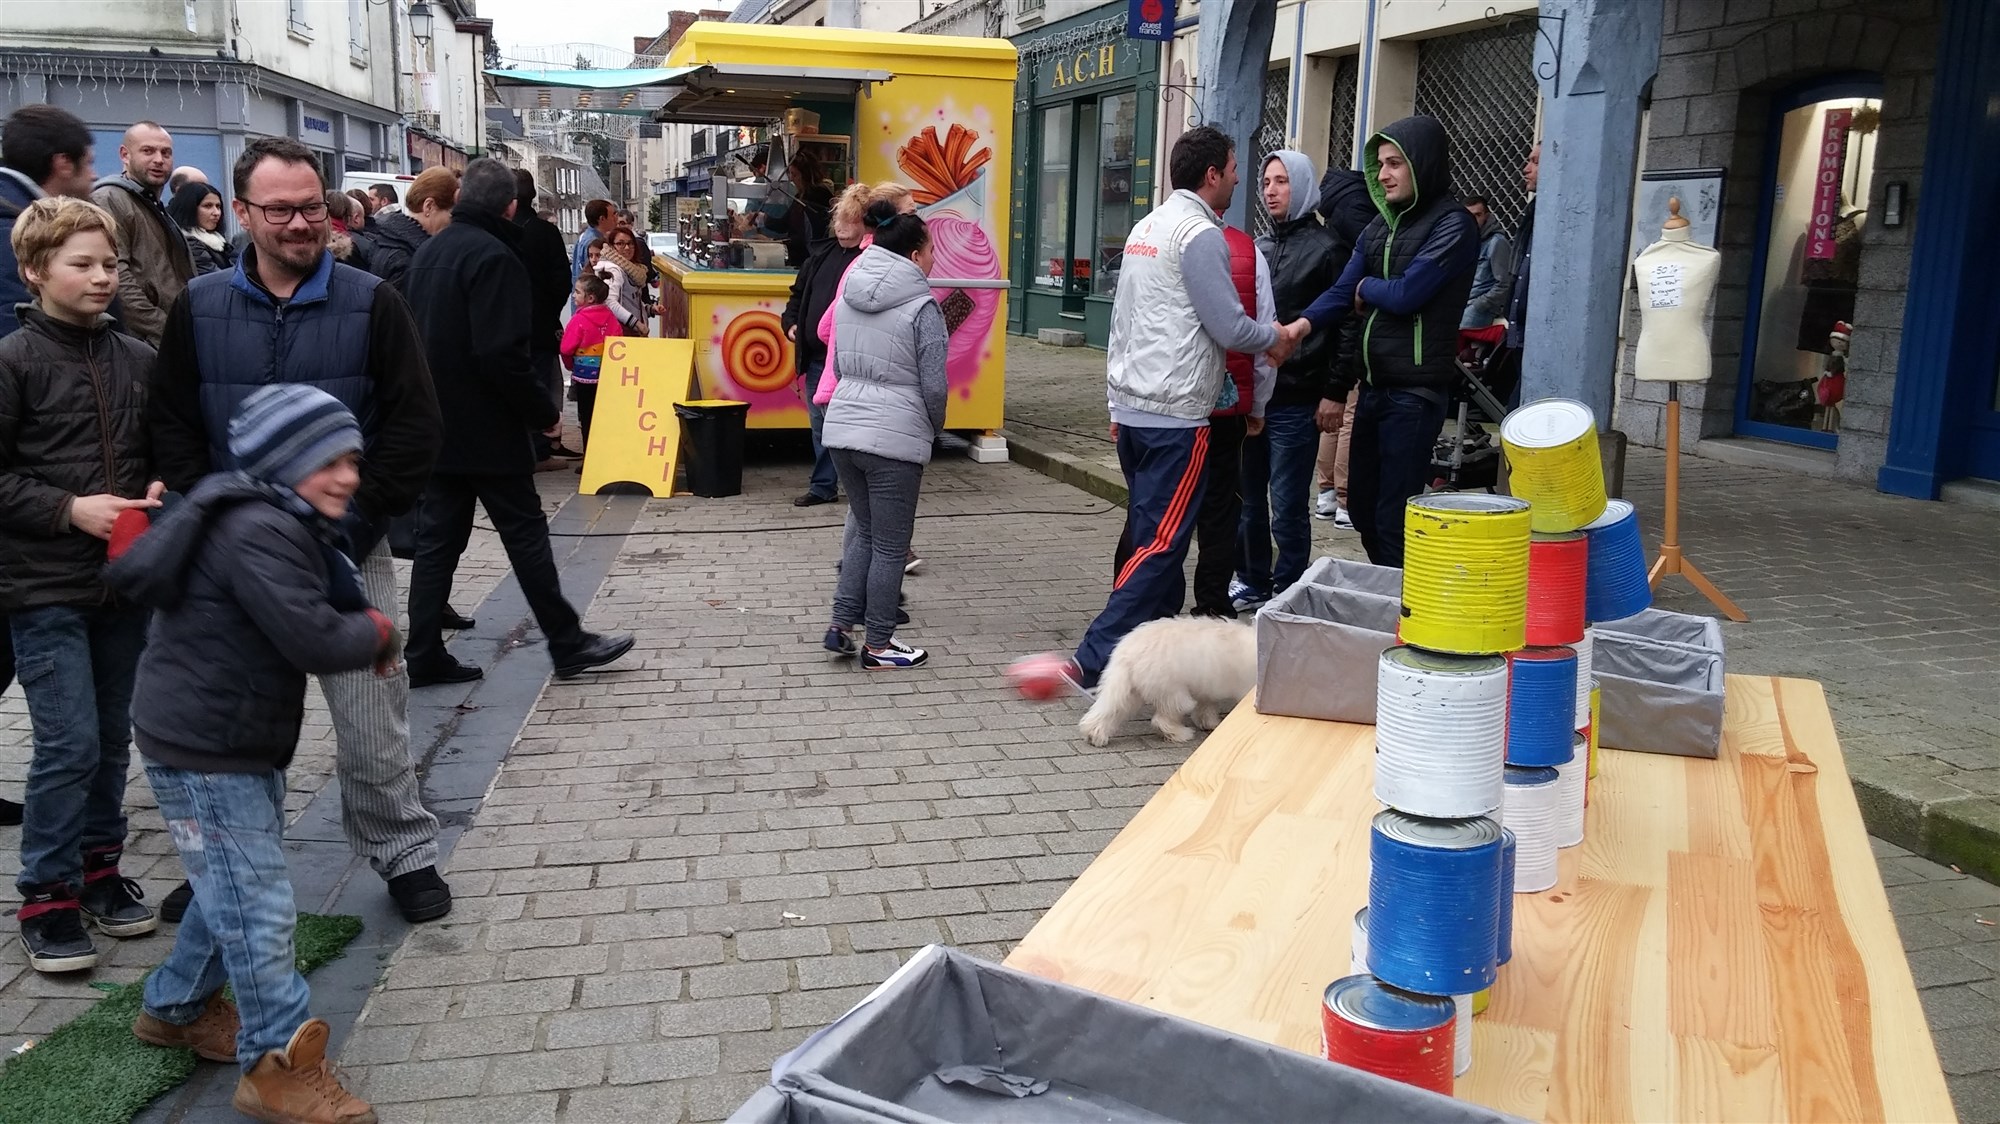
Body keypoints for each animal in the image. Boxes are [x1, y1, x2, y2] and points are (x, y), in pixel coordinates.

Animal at [1080, 612, 1248, 744]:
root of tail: (1127, 653)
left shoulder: (1207, 686)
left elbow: (1207, 707)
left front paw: (1210, 723)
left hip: (1126, 689)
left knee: (1107, 711)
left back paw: (1094, 735)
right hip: (1173, 693)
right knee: (1162, 720)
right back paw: (1180, 734)